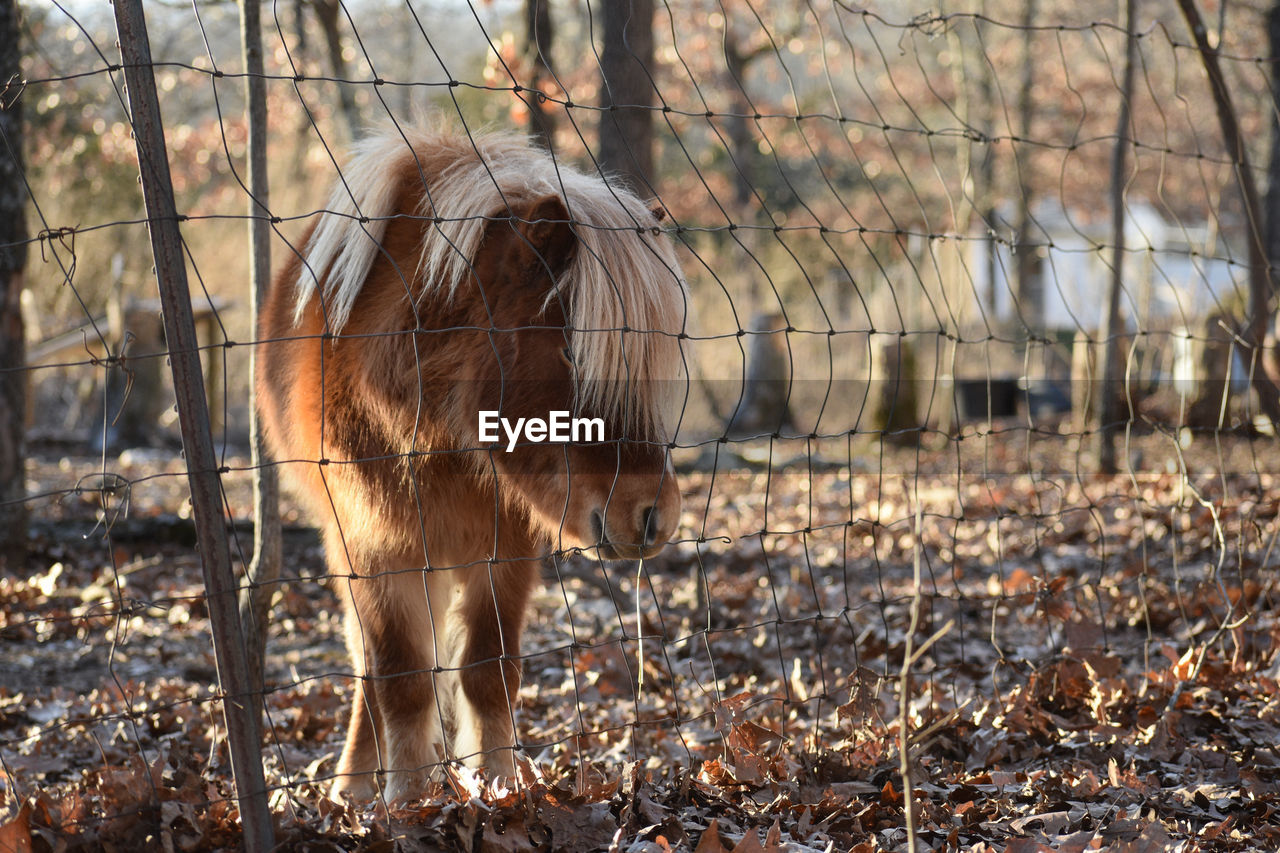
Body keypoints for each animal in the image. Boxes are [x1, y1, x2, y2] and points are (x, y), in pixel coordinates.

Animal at [253, 122, 686, 799]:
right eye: (570, 351)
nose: (653, 516)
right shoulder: (378, 549)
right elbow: (401, 676)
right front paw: (408, 801)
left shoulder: (505, 551)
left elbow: (488, 673)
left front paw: (498, 787)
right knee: (370, 664)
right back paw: (353, 785)